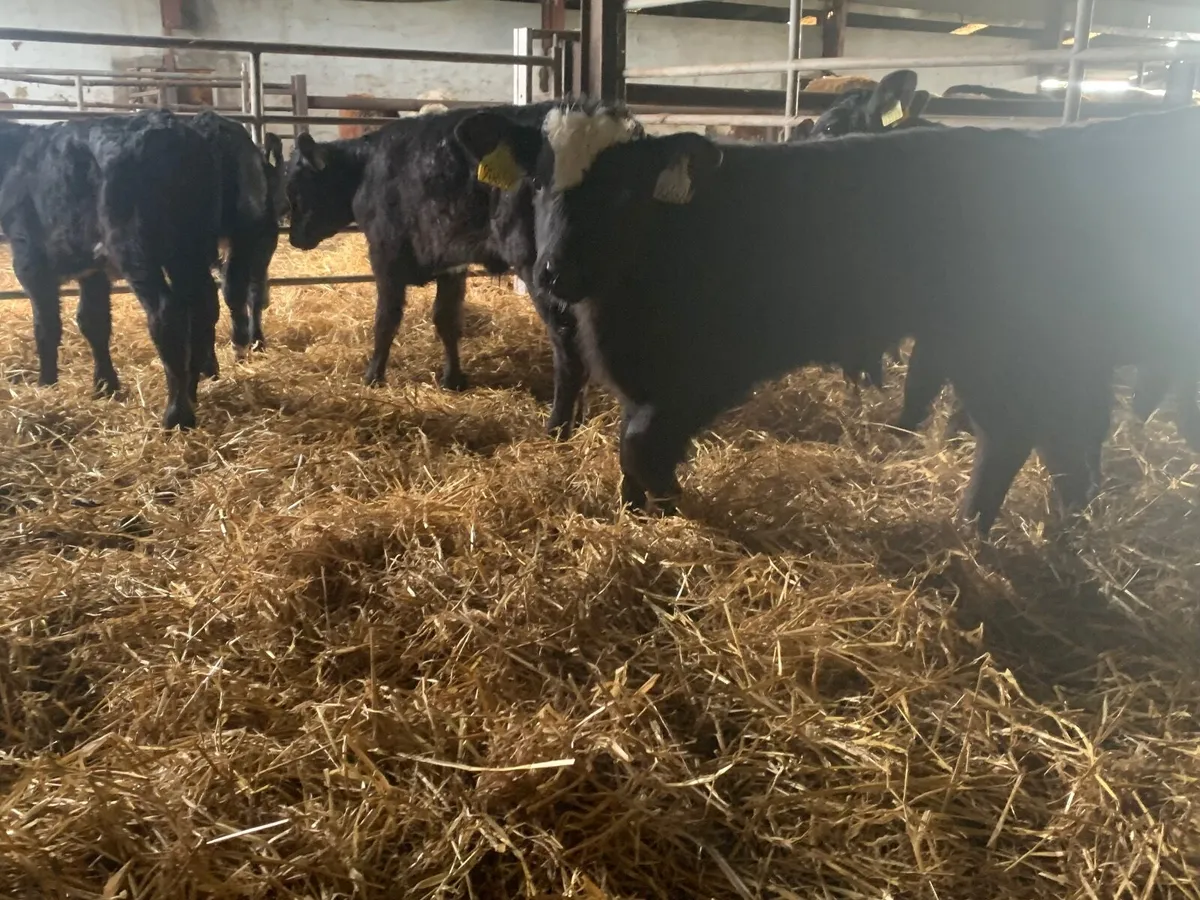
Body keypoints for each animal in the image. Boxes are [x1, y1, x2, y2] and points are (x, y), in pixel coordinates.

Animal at [0, 109, 222, 429]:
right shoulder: (94, 271)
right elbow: (93, 321)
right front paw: (105, 384)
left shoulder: (29, 257)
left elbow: (46, 326)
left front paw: (46, 383)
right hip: (191, 246)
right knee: (203, 305)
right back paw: (191, 391)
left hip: (135, 248)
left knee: (166, 312)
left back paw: (176, 414)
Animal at [285, 101, 588, 438]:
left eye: (297, 189)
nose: (294, 238)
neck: (366, 169)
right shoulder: (450, 261)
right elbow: (446, 319)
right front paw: (452, 379)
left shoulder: (385, 254)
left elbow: (385, 320)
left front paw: (373, 376)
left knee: (567, 339)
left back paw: (558, 426)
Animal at [452, 101, 1200, 536]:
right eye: (539, 180)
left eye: (625, 190)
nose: (555, 272)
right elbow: (629, 450)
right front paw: (637, 513)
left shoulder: (705, 375)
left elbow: (640, 447)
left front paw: (670, 505)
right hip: (985, 345)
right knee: (1031, 433)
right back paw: (994, 532)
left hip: (1012, 343)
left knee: (1040, 431)